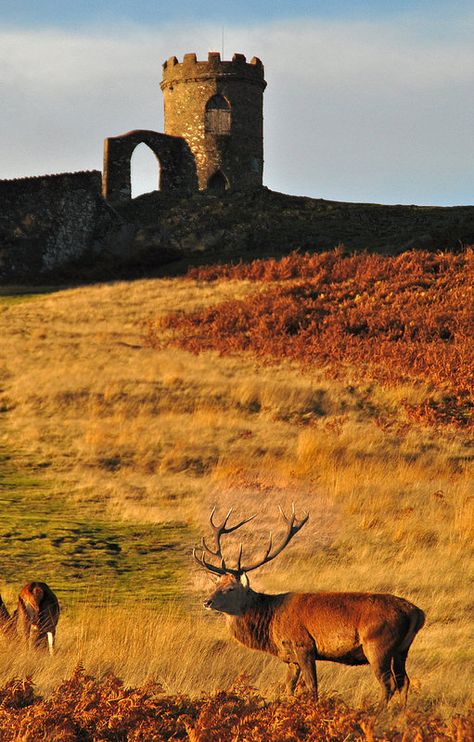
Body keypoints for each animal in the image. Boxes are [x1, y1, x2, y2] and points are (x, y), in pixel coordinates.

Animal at [194, 506, 424, 708]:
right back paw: (402, 715)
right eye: (216, 584)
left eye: (231, 588)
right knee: (404, 681)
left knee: (389, 684)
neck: (270, 621)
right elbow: (289, 688)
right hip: (401, 649)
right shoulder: (290, 658)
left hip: (378, 645)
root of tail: (417, 613)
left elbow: (313, 687)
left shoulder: (304, 645)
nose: (207, 602)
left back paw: (375, 714)